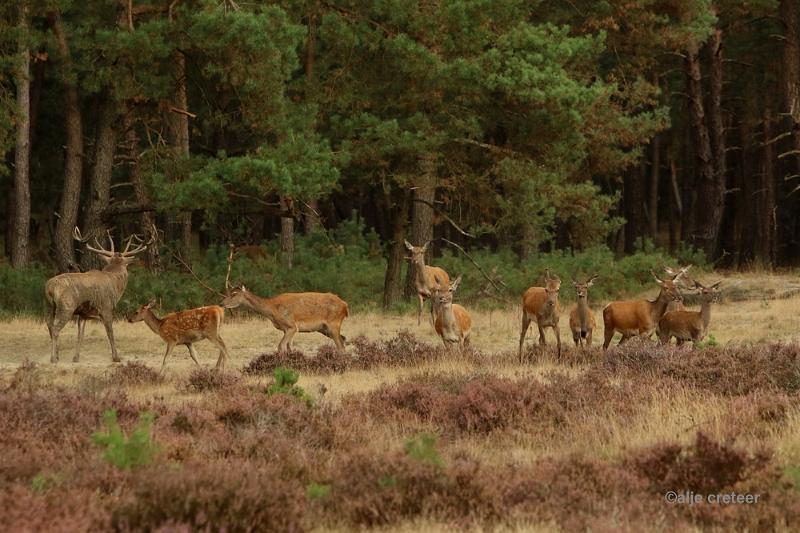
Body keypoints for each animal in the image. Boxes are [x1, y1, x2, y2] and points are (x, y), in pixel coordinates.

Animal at [45, 227, 153, 364]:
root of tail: (50, 287)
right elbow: (110, 332)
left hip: (50, 306)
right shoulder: (106, 307)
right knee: (55, 328)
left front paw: (76, 357)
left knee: (49, 324)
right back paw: (53, 358)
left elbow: (81, 334)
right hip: (66, 307)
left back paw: (57, 355)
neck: (115, 283)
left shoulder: (83, 313)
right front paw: (116, 357)